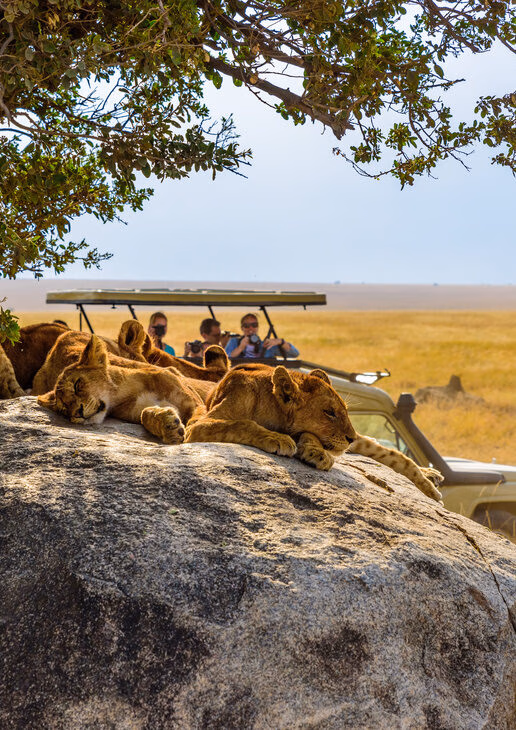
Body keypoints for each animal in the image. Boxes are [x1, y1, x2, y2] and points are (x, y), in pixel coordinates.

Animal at [38, 334, 207, 444]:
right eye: (64, 408)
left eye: (77, 385)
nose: (77, 413)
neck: (127, 392)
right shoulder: (135, 411)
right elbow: (145, 414)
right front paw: (168, 426)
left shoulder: (194, 401)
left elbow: (197, 417)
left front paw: (193, 432)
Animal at [185, 363, 443, 501]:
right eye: (329, 412)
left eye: (344, 410)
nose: (350, 437)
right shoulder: (195, 427)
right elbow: (242, 423)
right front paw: (277, 439)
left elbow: (310, 436)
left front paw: (317, 454)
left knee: (396, 455)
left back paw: (430, 482)